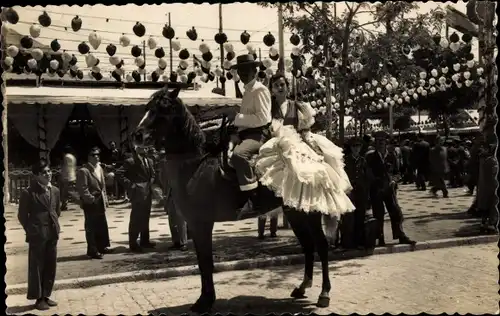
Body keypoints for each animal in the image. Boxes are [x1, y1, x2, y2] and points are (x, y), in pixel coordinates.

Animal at [135, 87, 334, 314]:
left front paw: (205, 301)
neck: (196, 165)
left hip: (309, 213)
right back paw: (301, 288)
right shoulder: (195, 224)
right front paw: (205, 299)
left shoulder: (201, 223)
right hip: (295, 213)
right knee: (308, 245)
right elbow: (203, 261)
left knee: (321, 245)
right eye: (148, 107)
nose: (137, 135)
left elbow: (206, 262)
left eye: (163, 109)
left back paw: (324, 294)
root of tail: (314, 153)